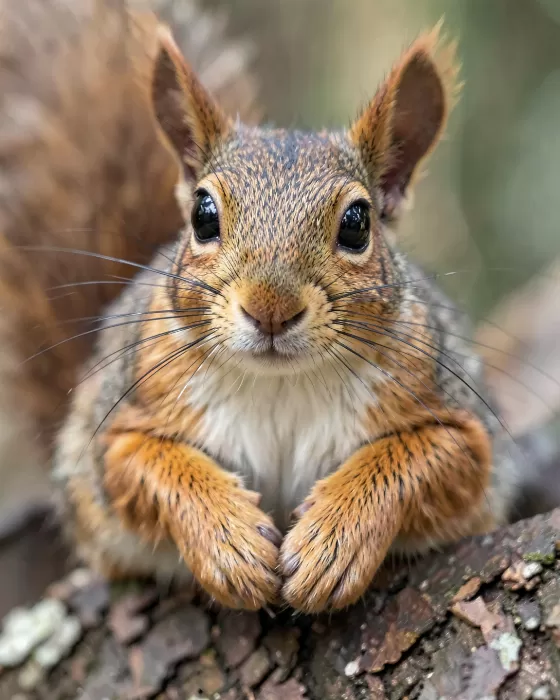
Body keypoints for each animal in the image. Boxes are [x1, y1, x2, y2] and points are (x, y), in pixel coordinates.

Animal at [0, 1, 523, 614]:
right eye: (202, 215)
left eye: (358, 223)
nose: (271, 308)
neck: (280, 385)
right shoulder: (116, 427)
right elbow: (147, 464)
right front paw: (229, 541)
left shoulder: (461, 423)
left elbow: (424, 457)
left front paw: (333, 543)